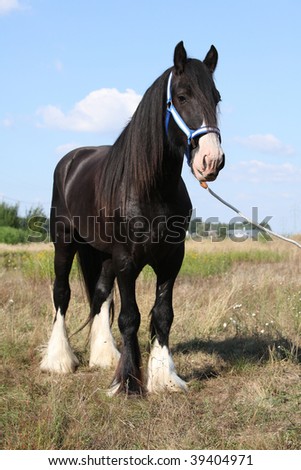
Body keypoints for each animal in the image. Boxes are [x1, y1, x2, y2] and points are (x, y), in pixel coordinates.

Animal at [40, 42, 223, 394]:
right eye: (182, 96)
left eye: (217, 97)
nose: (212, 160)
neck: (152, 188)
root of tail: (71, 160)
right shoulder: (126, 261)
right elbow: (130, 317)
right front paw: (127, 382)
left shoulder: (171, 259)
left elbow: (162, 314)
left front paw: (163, 377)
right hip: (64, 243)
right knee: (62, 293)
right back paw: (58, 360)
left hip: (102, 253)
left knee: (99, 293)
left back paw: (103, 355)